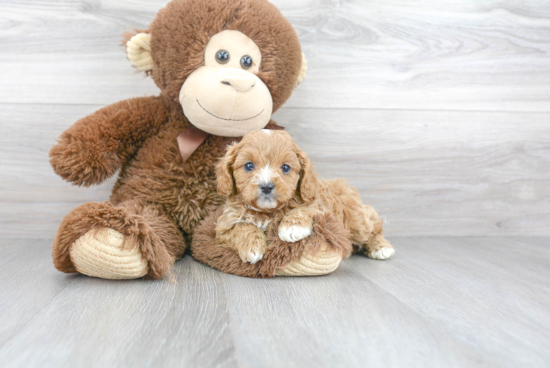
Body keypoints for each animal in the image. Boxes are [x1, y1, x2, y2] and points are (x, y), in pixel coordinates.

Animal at [217, 129, 396, 264]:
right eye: (249, 166)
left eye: (286, 168)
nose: (266, 186)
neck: (268, 212)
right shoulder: (224, 225)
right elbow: (241, 226)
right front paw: (252, 247)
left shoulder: (321, 207)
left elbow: (306, 208)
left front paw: (292, 227)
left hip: (356, 222)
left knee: (373, 228)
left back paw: (381, 247)